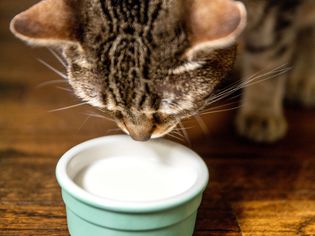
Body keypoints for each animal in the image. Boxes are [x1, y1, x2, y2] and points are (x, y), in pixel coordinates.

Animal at [9, 0, 315, 142]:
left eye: (165, 110)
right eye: (111, 109)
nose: (139, 138)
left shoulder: (278, 12)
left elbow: (268, 54)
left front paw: (261, 111)